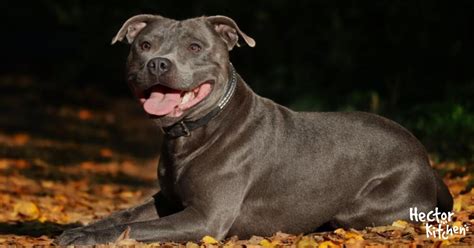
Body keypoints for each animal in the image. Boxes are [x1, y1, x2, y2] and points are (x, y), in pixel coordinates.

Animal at [55, 14, 452, 246]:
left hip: (362, 206)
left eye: (195, 47)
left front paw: (86, 238)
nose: (157, 63)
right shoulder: (167, 200)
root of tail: (426, 159)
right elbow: (124, 217)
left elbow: (136, 229)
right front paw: (80, 229)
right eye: (144, 45)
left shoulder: (206, 217)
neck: (195, 131)